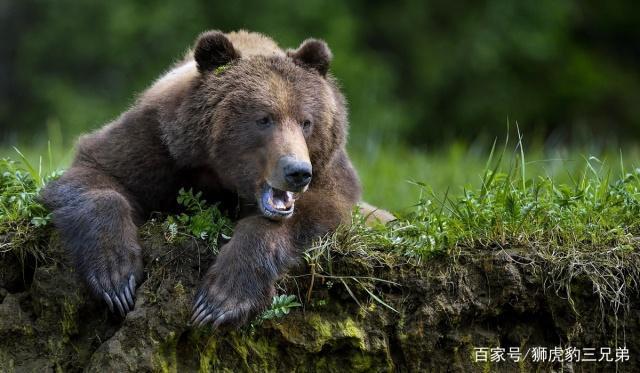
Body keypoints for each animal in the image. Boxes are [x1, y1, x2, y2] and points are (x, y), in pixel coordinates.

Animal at [41, 30, 390, 326]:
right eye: (264, 119)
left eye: (307, 121)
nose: (298, 172)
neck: (218, 173)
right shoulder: (156, 143)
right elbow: (97, 173)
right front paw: (116, 277)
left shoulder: (330, 172)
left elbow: (317, 212)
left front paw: (220, 299)